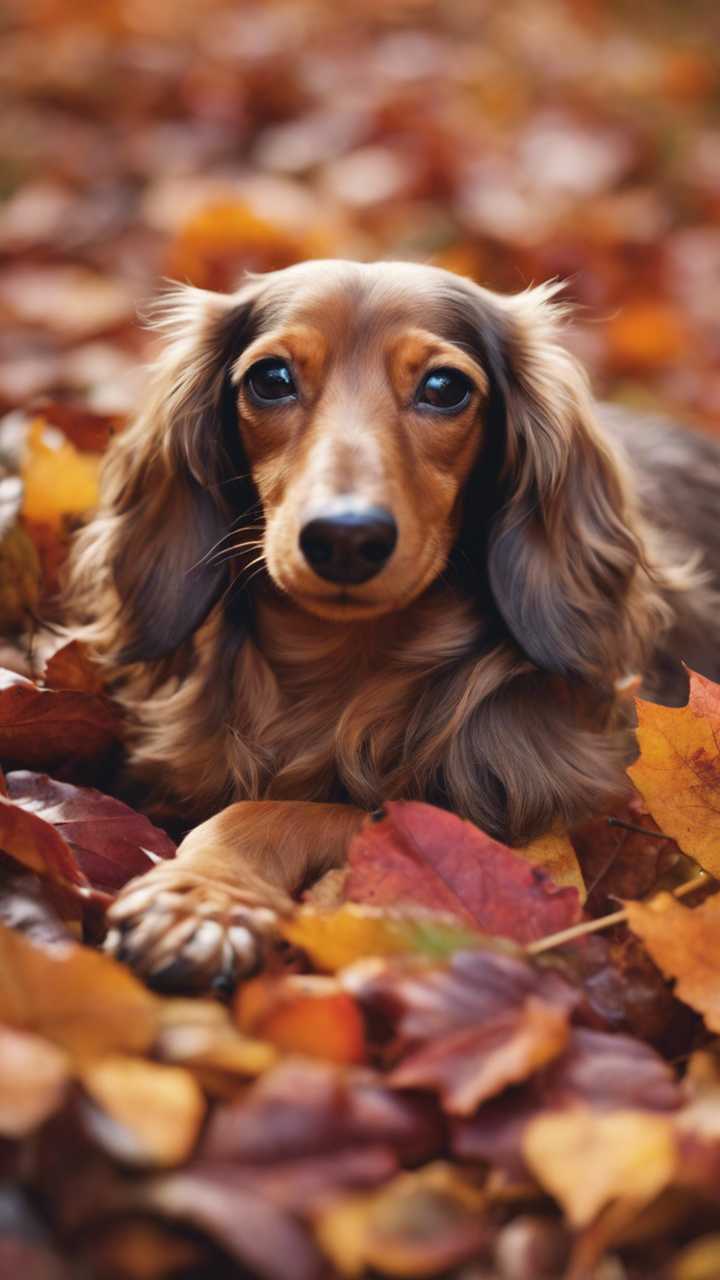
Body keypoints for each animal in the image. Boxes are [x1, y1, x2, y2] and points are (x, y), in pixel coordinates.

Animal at [68, 259, 717, 988]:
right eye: (270, 379)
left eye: (445, 388)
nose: (346, 538)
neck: (347, 668)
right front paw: (201, 896)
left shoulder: (539, 815)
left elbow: (285, 811)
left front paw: (199, 903)